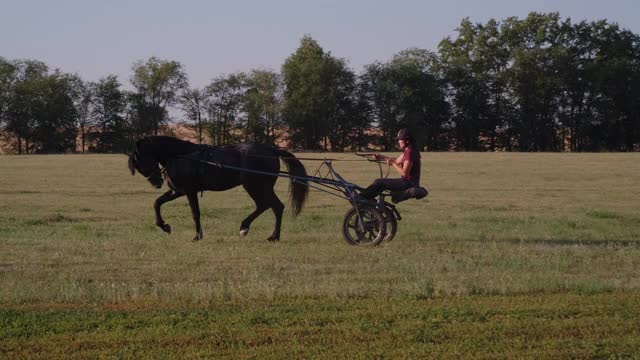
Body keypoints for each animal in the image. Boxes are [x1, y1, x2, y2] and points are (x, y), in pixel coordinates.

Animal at [127, 137, 308, 242]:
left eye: (140, 159)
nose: (157, 182)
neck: (182, 155)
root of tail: (272, 150)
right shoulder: (177, 191)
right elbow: (157, 203)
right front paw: (164, 226)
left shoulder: (189, 191)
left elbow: (195, 213)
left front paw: (197, 236)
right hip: (257, 187)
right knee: (267, 206)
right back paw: (250, 229)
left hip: (256, 186)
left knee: (275, 206)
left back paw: (269, 235)